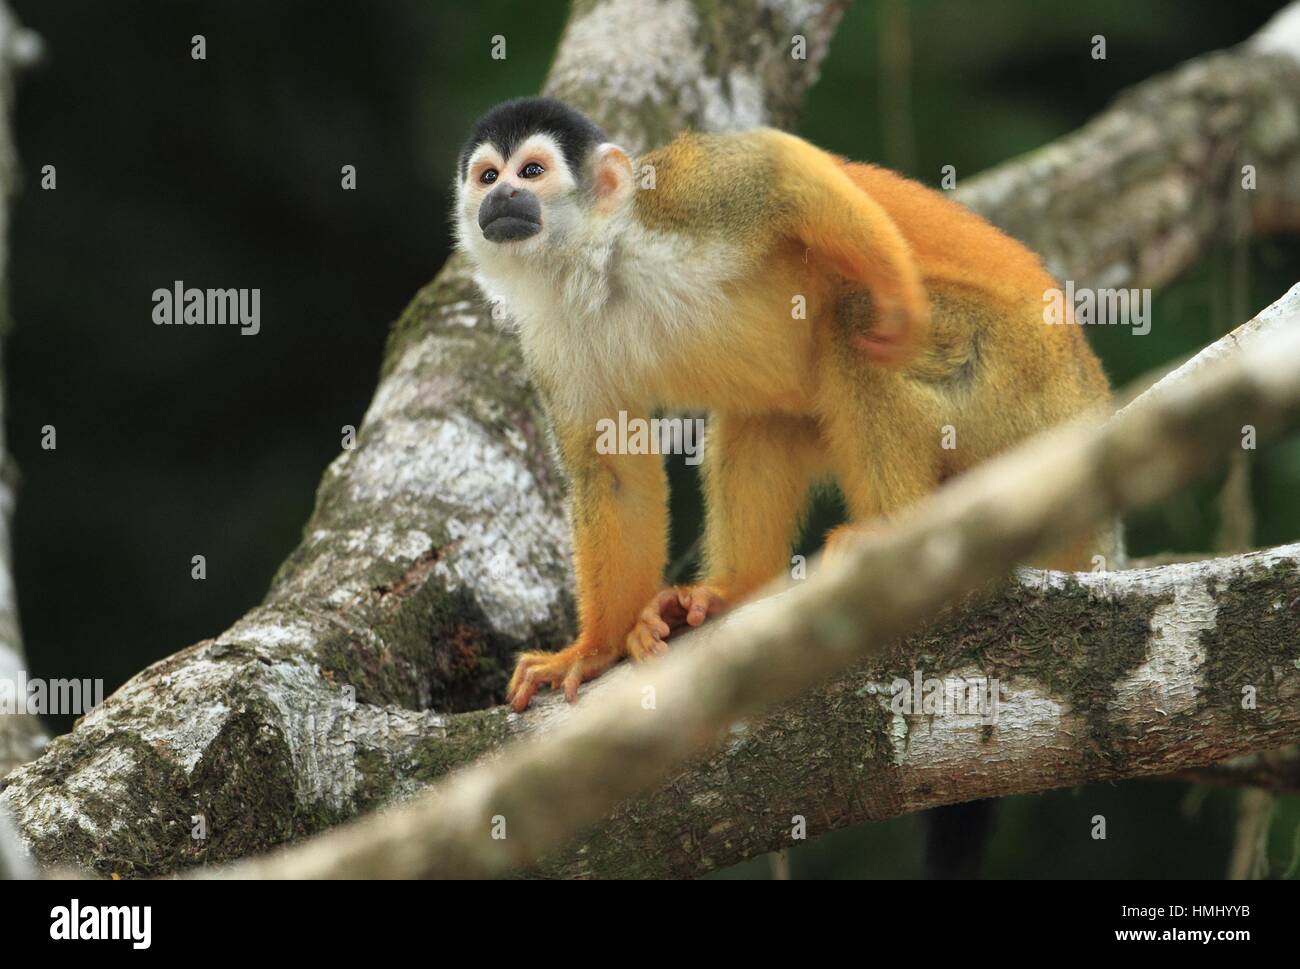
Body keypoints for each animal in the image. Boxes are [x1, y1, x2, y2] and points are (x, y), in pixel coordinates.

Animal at [453, 96, 1116, 714]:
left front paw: (900, 298)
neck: (590, 266)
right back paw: (724, 592)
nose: (503, 195)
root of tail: (1087, 390)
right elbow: (611, 467)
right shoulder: (550, 336)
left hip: (1019, 377)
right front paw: (592, 651)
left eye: (532, 170)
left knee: (855, 321)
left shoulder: (675, 198)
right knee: (762, 417)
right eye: (488, 177)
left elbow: (778, 169)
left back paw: (888, 528)